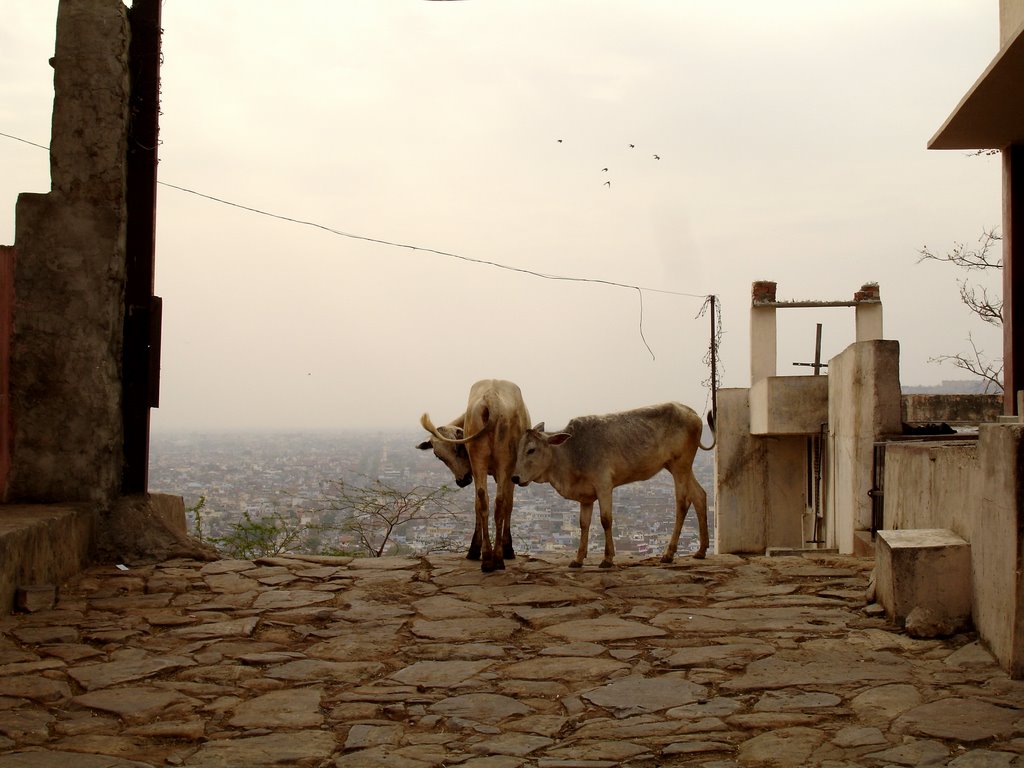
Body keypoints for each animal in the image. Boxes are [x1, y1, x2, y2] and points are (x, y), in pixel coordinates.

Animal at [415, 382, 532, 573]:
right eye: (439, 456)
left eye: (458, 449)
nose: (462, 480)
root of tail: (491, 399)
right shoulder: (509, 472)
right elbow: (508, 504)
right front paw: (507, 548)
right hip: (503, 459)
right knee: (499, 502)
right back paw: (496, 558)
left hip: (479, 459)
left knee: (482, 500)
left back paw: (487, 558)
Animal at [509, 405, 712, 569]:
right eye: (518, 449)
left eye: (531, 450)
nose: (515, 477)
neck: (571, 452)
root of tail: (692, 413)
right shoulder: (586, 497)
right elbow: (584, 524)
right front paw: (578, 559)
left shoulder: (604, 486)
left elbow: (605, 520)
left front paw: (607, 559)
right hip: (677, 467)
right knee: (699, 495)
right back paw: (701, 550)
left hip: (680, 466)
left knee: (682, 503)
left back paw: (669, 554)